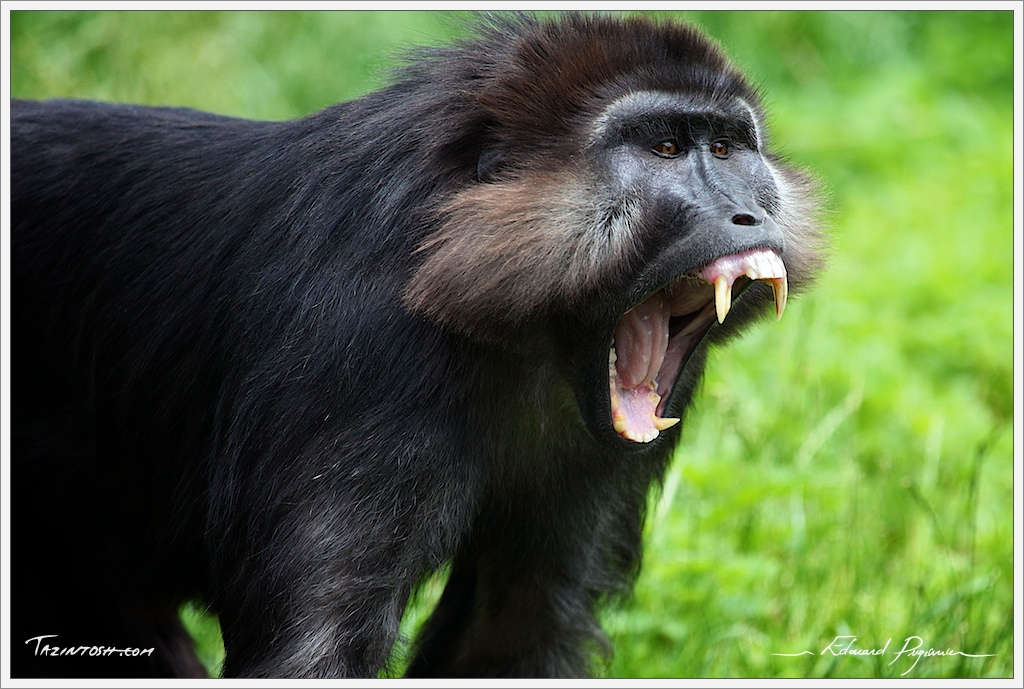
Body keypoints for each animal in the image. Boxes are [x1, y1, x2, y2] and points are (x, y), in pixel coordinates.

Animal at [9, 12, 825, 679]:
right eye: (665, 146)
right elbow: (316, 645)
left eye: (726, 147)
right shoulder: (362, 352)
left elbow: (513, 632)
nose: (747, 214)